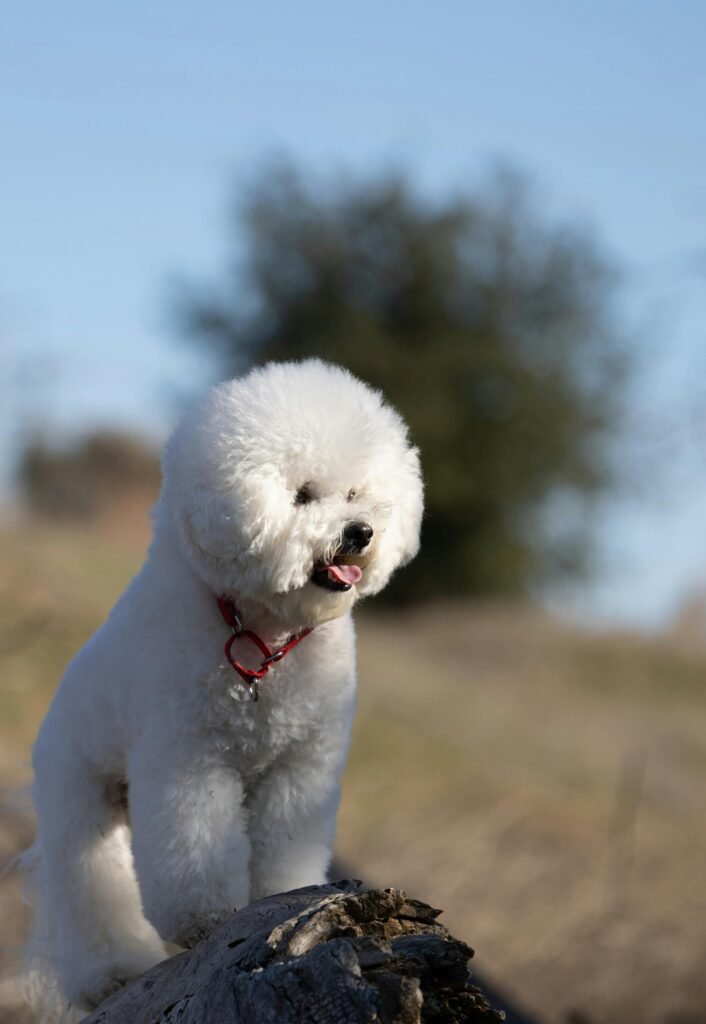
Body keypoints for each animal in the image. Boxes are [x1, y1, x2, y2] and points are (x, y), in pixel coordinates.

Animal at [24, 360, 424, 1015]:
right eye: (302, 495)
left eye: (355, 494)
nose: (361, 532)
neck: (262, 633)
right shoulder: (191, 760)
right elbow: (195, 852)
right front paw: (205, 920)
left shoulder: (300, 768)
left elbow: (285, 848)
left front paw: (287, 897)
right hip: (76, 798)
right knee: (88, 886)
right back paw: (109, 974)